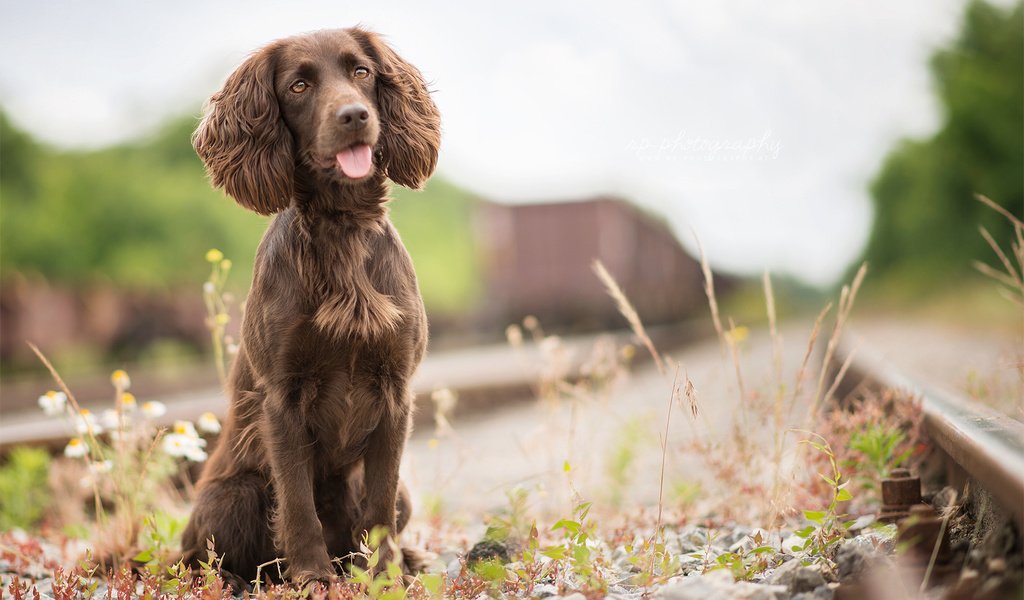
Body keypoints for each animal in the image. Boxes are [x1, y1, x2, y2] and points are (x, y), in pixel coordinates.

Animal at [180, 28, 440, 585]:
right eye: (298, 86)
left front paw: (383, 574)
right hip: (231, 495)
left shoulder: (395, 392)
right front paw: (312, 576)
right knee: (196, 556)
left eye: (362, 71)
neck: (341, 226)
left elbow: (379, 503)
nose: (354, 116)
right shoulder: (283, 398)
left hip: (405, 492)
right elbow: (297, 500)